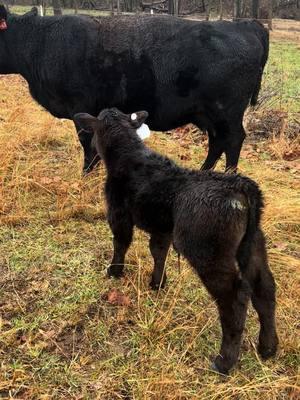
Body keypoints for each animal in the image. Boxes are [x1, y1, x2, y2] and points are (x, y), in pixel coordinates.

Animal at [0, 6, 268, 172]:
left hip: (225, 111)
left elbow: (87, 144)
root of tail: (245, 25)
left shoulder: (80, 108)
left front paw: (86, 174)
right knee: (217, 142)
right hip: (208, 114)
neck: (41, 42)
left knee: (232, 140)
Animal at [73, 107, 278, 376]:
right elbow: (158, 252)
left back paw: (224, 362)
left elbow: (121, 243)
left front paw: (114, 271)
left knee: (235, 299)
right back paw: (268, 348)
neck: (129, 156)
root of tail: (240, 186)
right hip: (253, 246)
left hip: (209, 254)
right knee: (264, 288)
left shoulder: (118, 214)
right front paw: (158, 283)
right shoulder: (162, 228)